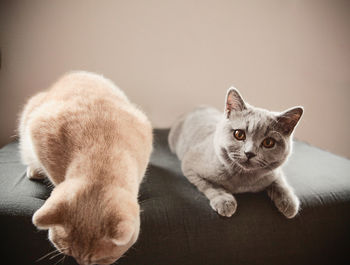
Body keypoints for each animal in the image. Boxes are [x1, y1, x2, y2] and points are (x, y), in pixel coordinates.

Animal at [17, 70, 152, 264]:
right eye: (70, 255)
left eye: (99, 260)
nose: (80, 263)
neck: (103, 153)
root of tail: (74, 73)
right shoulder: (38, 129)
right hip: (29, 113)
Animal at [168, 87, 302, 218]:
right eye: (239, 134)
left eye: (268, 142)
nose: (249, 153)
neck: (243, 179)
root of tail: (199, 106)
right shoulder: (189, 164)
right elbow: (210, 185)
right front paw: (225, 201)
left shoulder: (274, 172)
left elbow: (280, 182)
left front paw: (289, 203)